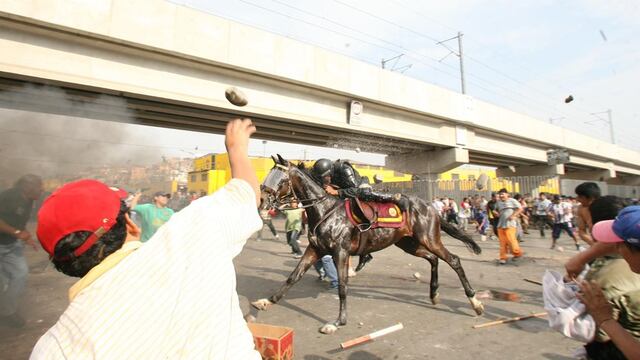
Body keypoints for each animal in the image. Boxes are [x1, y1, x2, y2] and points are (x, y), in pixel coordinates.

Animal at [252, 155, 482, 334]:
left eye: (280, 179)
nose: (262, 201)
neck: (324, 210)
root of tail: (431, 206)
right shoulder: (315, 249)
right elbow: (293, 276)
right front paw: (268, 301)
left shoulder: (340, 252)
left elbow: (342, 286)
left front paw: (338, 322)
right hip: (408, 244)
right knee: (433, 259)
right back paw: (434, 294)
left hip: (429, 238)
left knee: (454, 260)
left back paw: (475, 302)